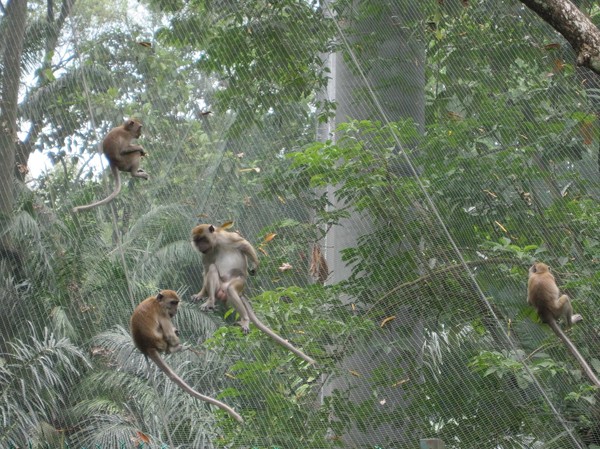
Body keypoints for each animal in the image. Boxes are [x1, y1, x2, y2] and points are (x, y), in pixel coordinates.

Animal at [131, 288, 244, 422]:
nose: (175, 310)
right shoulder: (163, 313)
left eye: (176, 303)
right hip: (161, 342)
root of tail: (146, 347)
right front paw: (176, 341)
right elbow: (170, 335)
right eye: (172, 303)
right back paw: (174, 348)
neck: (156, 301)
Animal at [192, 222, 316, 366]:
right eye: (197, 241)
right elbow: (207, 268)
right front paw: (201, 294)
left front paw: (256, 264)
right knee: (212, 269)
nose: (200, 246)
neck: (215, 244)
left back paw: (245, 319)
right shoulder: (206, 253)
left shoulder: (226, 237)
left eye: (203, 239)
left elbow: (243, 244)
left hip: (239, 283)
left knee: (231, 289)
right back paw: (210, 301)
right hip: (220, 286)